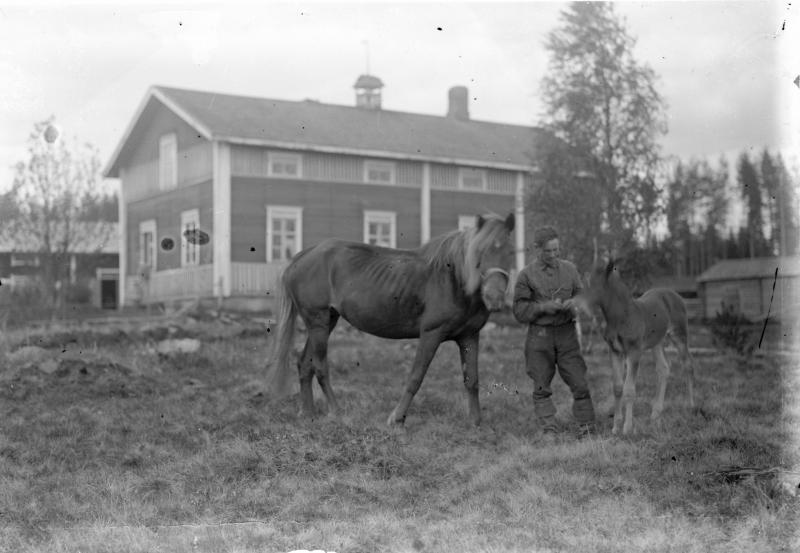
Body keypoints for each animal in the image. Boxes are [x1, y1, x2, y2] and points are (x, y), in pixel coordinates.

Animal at [266, 213, 516, 427]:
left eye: (511, 251)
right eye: (479, 251)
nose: (495, 298)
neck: (453, 279)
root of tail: (301, 257)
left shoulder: (469, 337)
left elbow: (472, 380)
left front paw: (475, 421)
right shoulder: (431, 334)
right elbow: (416, 377)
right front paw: (397, 418)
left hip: (326, 321)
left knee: (304, 362)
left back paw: (308, 412)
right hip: (317, 321)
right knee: (319, 366)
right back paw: (335, 411)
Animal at [576, 259, 698, 435]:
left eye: (594, 284)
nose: (577, 304)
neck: (622, 316)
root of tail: (674, 294)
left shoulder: (634, 352)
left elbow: (629, 389)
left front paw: (627, 428)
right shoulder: (615, 352)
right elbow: (617, 387)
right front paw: (615, 427)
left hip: (679, 334)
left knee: (688, 365)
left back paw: (690, 406)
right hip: (657, 342)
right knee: (663, 368)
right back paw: (655, 415)